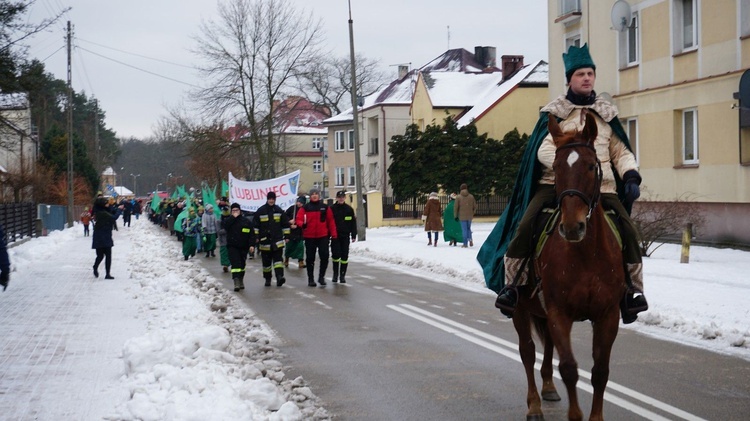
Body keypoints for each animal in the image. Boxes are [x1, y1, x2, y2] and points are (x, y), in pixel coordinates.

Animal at [516, 112, 624, 420]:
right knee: (527, 351)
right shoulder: (559, 312)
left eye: (590, 165)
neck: (585, 254)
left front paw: (596, 417)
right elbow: (569, 369)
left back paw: (549, 389)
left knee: (547, 347)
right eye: (555, 167)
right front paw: (575, 415)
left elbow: (600, 372)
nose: (572, 227)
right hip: (520, 307)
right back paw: (534, 404)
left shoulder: (608, 315)